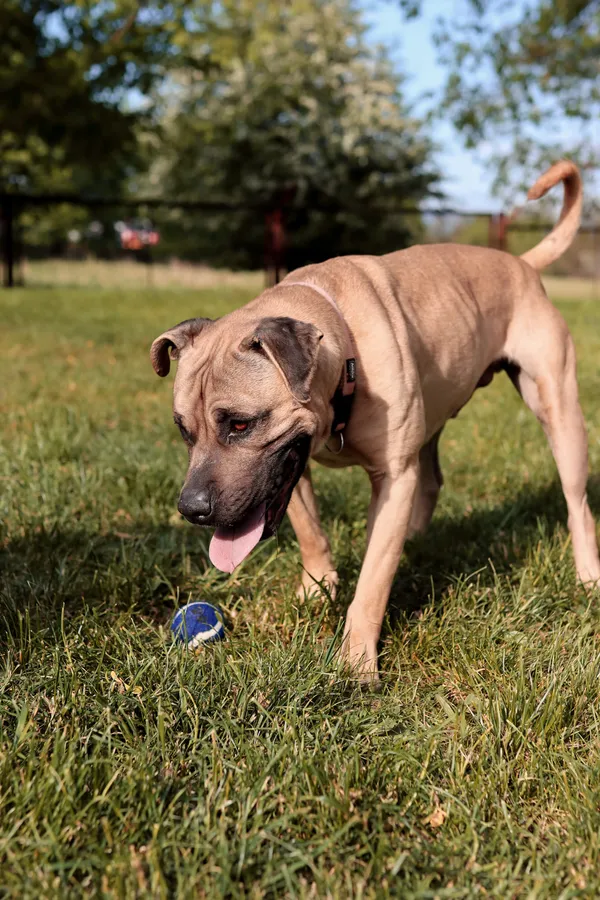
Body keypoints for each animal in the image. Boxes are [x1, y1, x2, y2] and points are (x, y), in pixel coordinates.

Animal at [151, 162, 600, 684]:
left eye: (240, 425)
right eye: (184, 430)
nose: (191, 509)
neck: (342, 354)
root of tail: (523, 265)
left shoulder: (389, 475)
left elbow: (371, 584)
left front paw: (356, 661)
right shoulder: (289, 469)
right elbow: (311, 533)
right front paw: (317, 589)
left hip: (559, 413)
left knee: (577, 504)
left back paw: (587, 575)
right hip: (433, 417)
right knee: (431, 480)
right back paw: (416, 539)